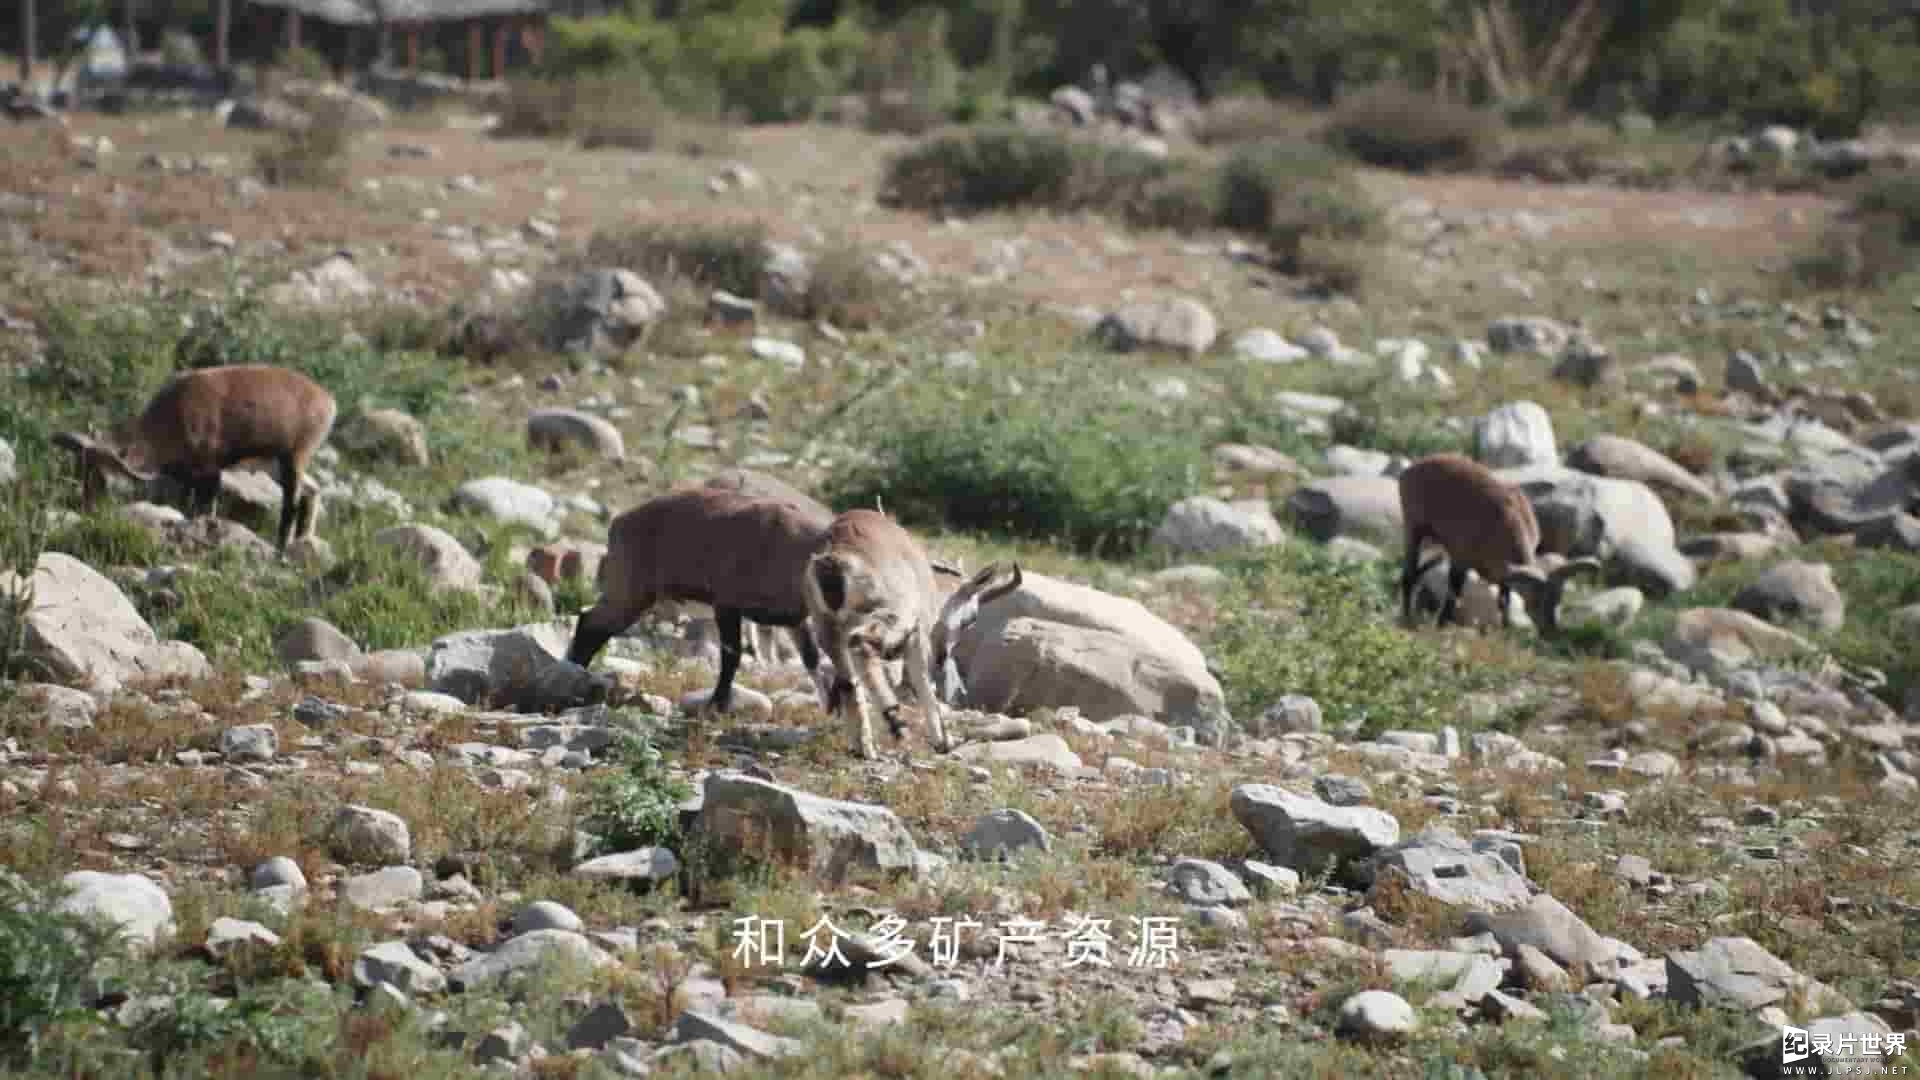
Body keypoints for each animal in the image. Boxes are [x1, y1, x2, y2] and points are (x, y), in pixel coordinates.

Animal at [52, 363, 336, 549]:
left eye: (102, 476)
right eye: (81, 470)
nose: (88, 508)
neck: (174, 413)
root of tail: (328, 402)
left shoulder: (210, 470)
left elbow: (205, 509)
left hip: (293, 458)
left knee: (291, 503)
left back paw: (282, 548)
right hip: (275, 465)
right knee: (312, 490)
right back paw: (303, 540)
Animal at [802, 507, 1029, 760]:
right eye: (972, 618)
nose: (943, 655)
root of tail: (833, 558)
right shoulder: (917, 635)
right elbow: (923, 683)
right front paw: (943, 742)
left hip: (828, 630)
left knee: (848, 683)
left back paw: (867, 748)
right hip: (890, 619)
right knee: (862, 645)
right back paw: (896, 724)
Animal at [1397, 447, 1605, 630]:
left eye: (1557, 600)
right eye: (1535, 601)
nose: (1550, 631)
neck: (1506, 522)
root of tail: (1409, 471)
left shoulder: (1502, 573)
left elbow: (1504, 600)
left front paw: (1505, 629)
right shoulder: (1460, 558)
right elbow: (1453, 594)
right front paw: (1441, 625)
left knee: (1419, 571)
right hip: (1414, 527)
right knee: (1408, 575)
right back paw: (1407, 620)